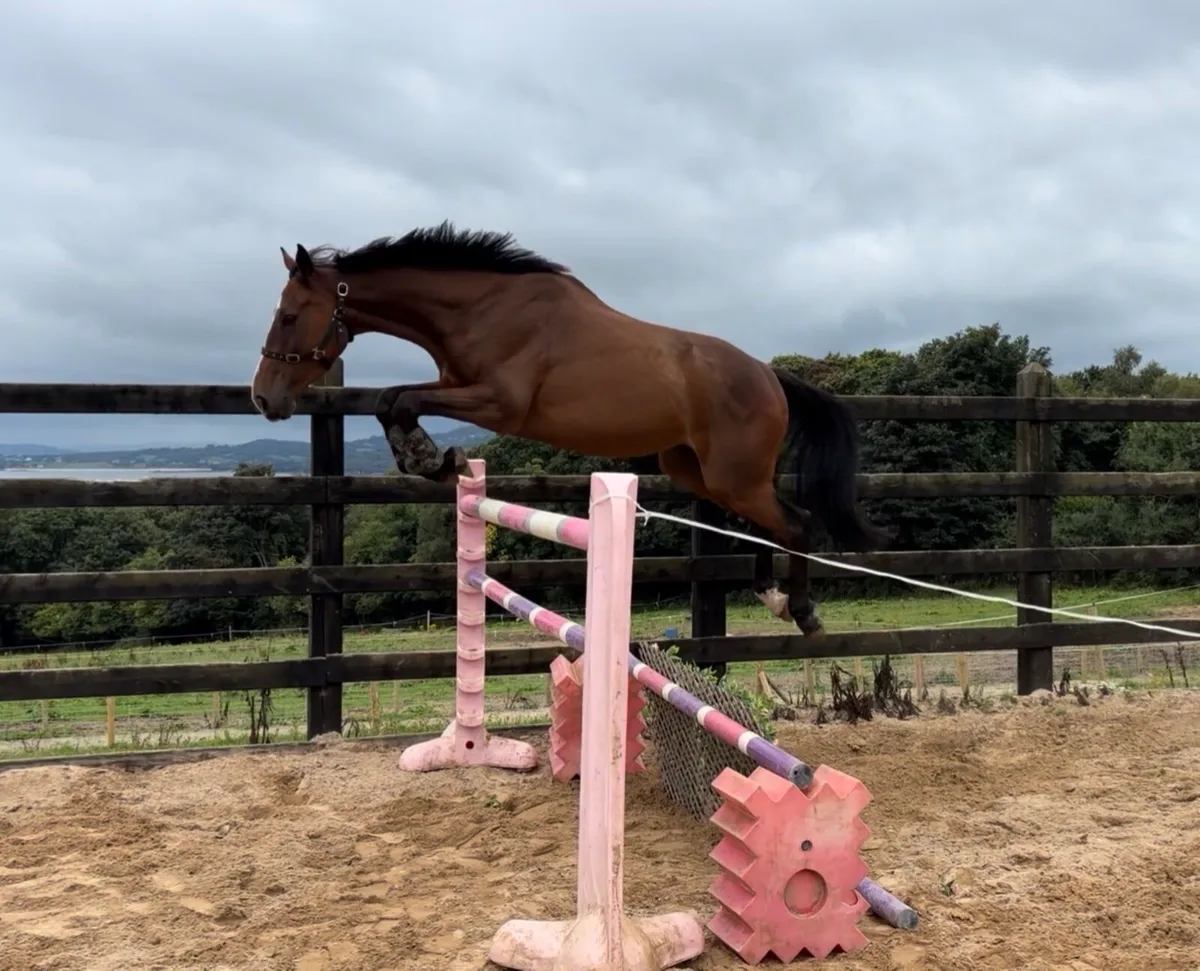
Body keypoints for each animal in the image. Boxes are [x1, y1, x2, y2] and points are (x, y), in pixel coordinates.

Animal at [250, 222, 887, 637]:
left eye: (289, 315)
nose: (263, 397)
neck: (482, 308)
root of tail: (769, 374)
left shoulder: (497, 403)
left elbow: (399, 399)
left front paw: (429, 457)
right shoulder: (456, 385)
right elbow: (392, 399)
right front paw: (430, 459)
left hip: (733, 476)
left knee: (797, 524)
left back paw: (801, 612)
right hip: (699, 471)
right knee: (771, 523)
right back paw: (770, 594)